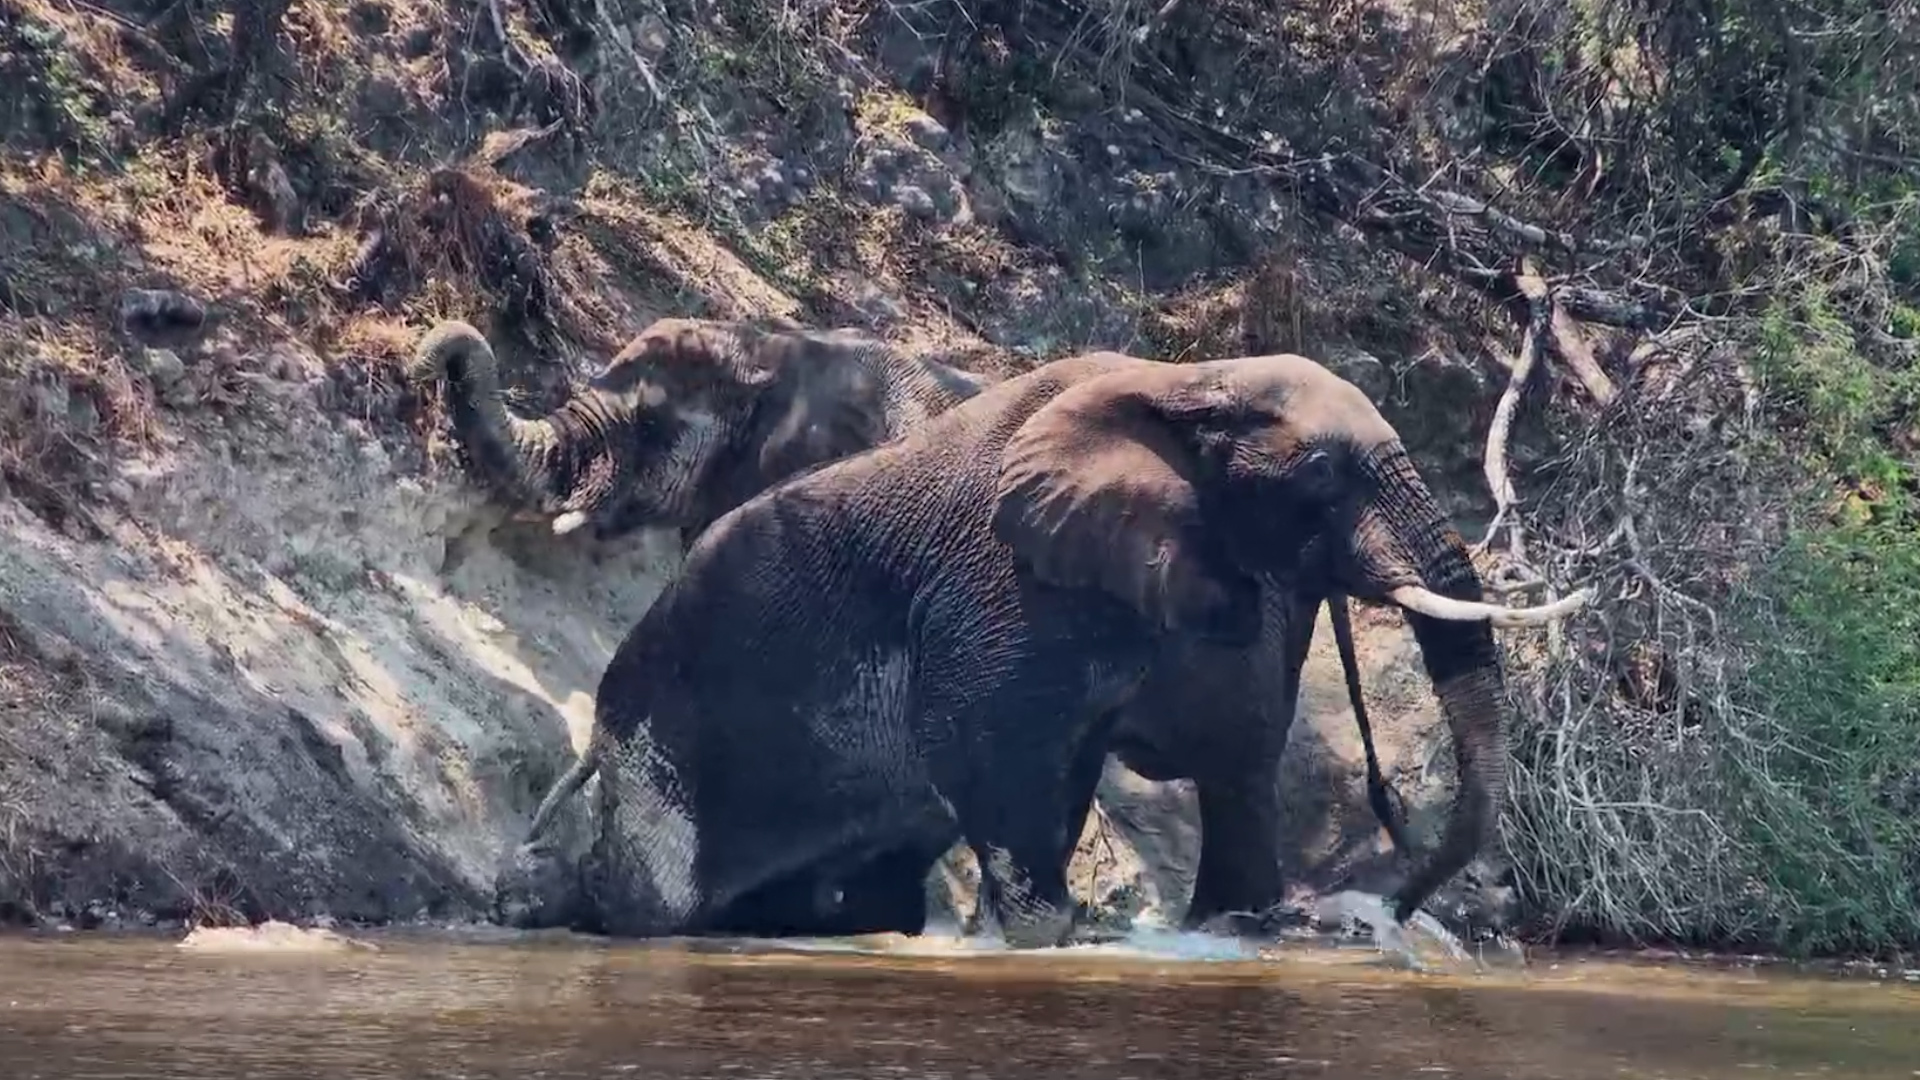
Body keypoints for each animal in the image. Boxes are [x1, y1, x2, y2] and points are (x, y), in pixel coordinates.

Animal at [525, 348, 1588, 947]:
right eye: (1325, 473)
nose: (1398, 912)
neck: (1183, 382)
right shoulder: (1003, 582)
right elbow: (984, 745)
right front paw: (1052, 941)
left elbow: (1206, 754)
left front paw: (1242, 932)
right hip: (656, 755)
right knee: (662, 896)